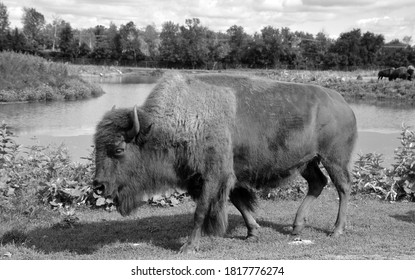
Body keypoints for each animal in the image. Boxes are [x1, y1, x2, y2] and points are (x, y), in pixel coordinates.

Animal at [93, 72, 358, 254]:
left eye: (118, 150)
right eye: (97, 147)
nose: (99, 186)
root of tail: (343, 102)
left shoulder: (213, 176)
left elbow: (201, 211)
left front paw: (188, 247)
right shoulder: (218, 177)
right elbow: (238, 202)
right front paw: (253, 233)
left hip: (333, 159)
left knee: (343, 187)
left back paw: (336, 230)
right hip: (308, 162)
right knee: (318, 183)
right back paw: (296, 227)